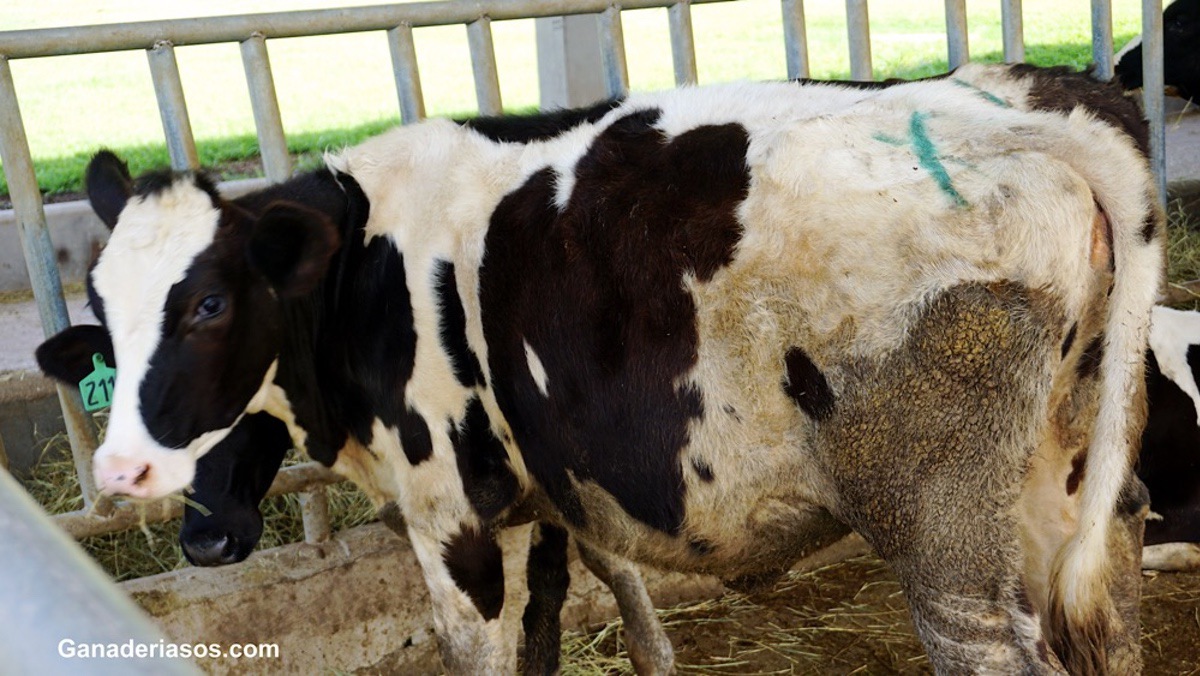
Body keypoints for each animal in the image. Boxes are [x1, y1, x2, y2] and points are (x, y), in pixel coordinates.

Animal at [37, 62, 1161, 672]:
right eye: (101, 314)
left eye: (209, 304)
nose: (125, 475)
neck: (366, 261)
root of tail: (1000, 106)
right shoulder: (555, 484)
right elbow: (601, 601)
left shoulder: (452, 519)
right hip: (1068, 471)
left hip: (938, 526)